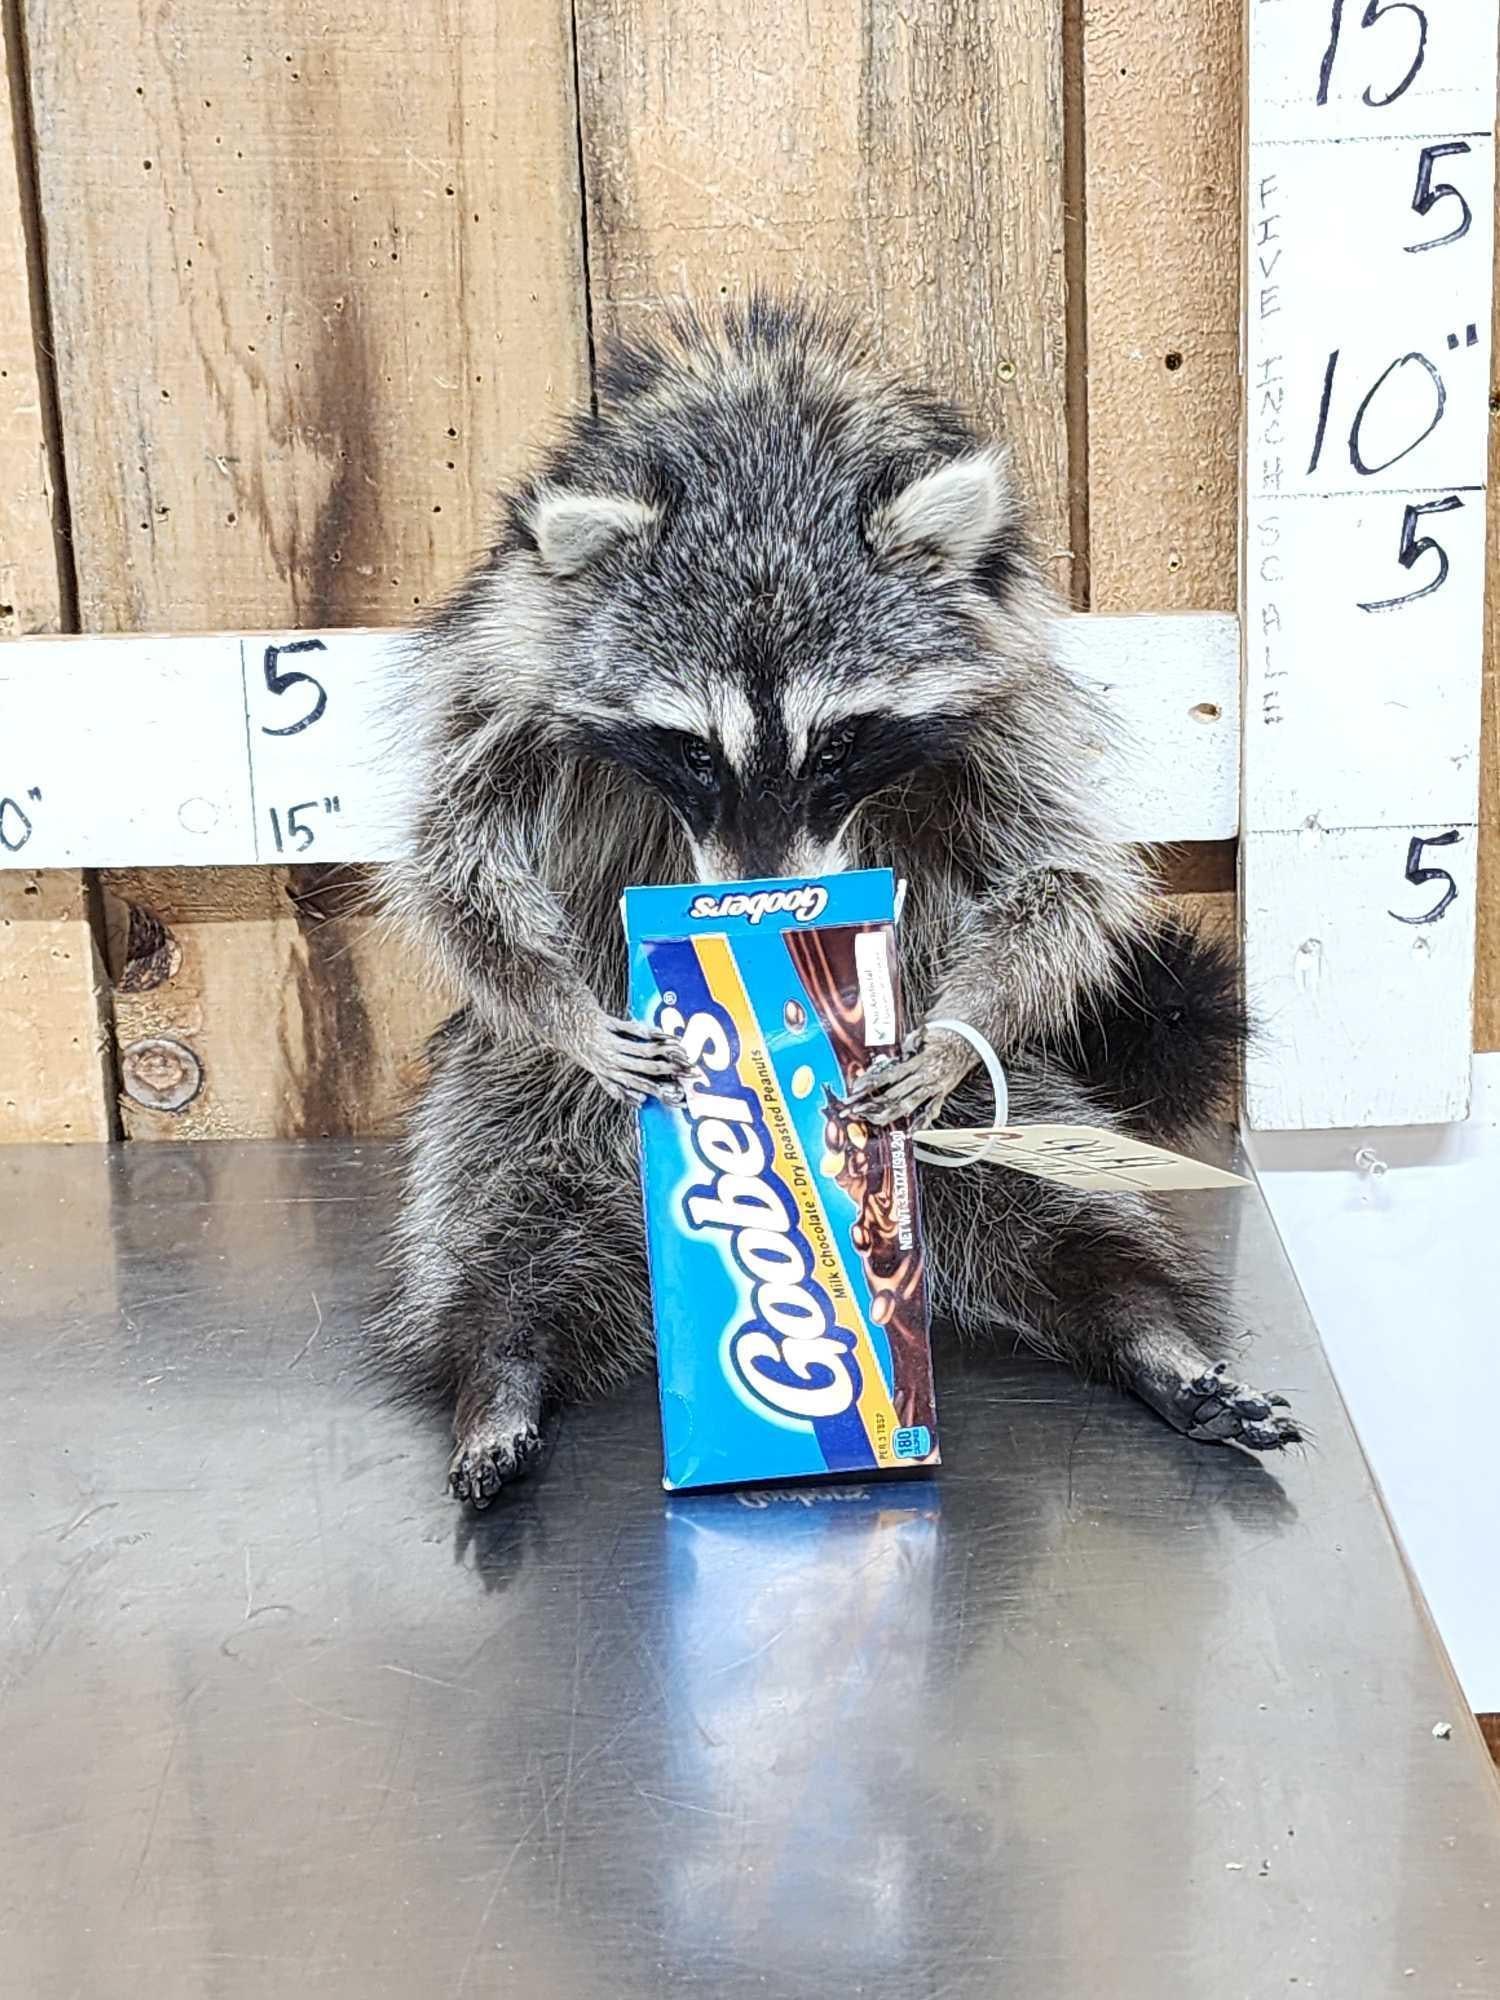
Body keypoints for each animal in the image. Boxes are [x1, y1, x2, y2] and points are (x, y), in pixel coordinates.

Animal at [377, 299, 1300, 1507]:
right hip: (510, 1101)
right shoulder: (509, 672)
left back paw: (1137, 1319)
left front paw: (952, 1033)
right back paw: (498, 1355)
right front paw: (571, 1013)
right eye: (691, 748)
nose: (758, 898)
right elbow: (456, 862)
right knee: (489, 1211)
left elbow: (1061, 874)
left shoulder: (1004, 692)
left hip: (1003, 1124)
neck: (761, 466)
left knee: (1057, 1202)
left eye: (842, 743)